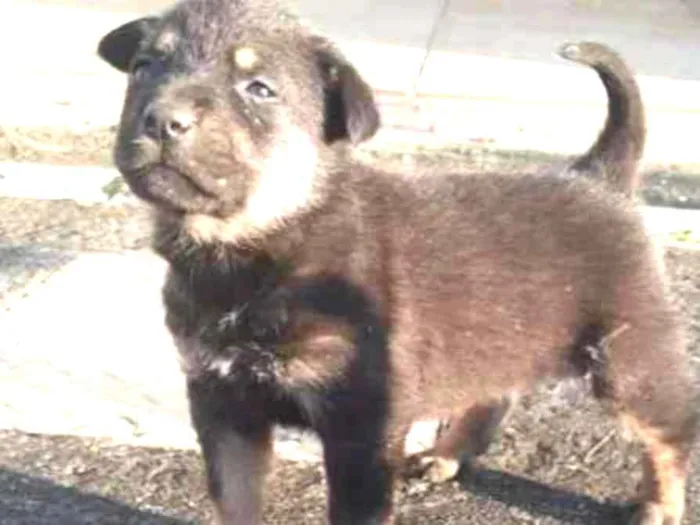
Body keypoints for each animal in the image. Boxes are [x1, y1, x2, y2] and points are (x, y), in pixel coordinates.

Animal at [97, 2, 696, 520]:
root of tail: (599, 174)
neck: (261, 246)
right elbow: (235, 500)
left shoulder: (361, 424)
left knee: (670, 430)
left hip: (629, 354)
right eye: (144, 68)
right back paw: (446, 454)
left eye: (259, 89)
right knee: (494, 392)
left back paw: (660, 506)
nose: (161, 120)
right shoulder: (222, 403)